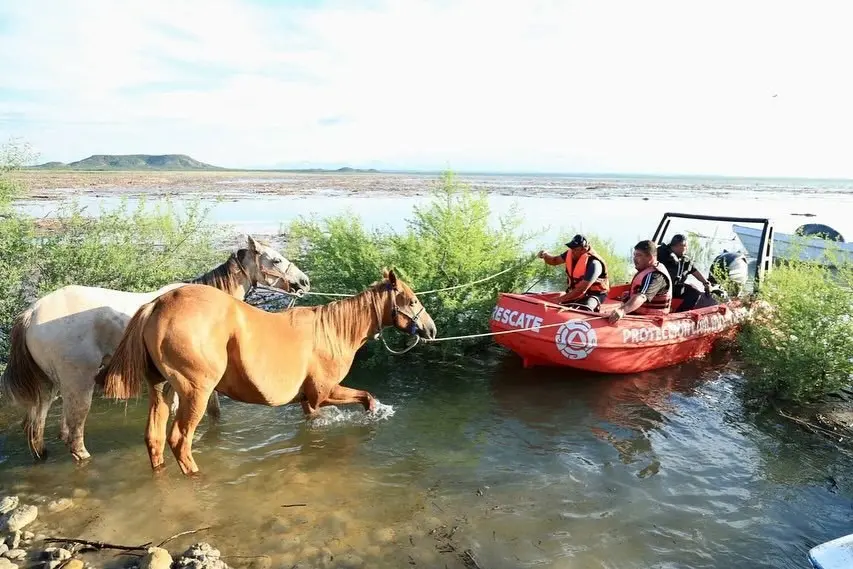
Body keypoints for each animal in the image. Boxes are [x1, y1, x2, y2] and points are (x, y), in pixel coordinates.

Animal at [0, 233, 310, 460]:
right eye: (276, 259)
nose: (304, 282)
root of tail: (31, 314)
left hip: (49, 385)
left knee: (37, 427)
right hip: (78, 383)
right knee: (74, 433)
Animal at [100, 268, 436, 472]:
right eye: (411, 300)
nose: (431, 329)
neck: (333, 331)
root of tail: (156, 304)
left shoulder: (309, 402)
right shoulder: (324, 392)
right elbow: (367, 397)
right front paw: (373, 415)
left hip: (162, 389)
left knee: (154, 439)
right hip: (196, 393)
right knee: (180, 441)